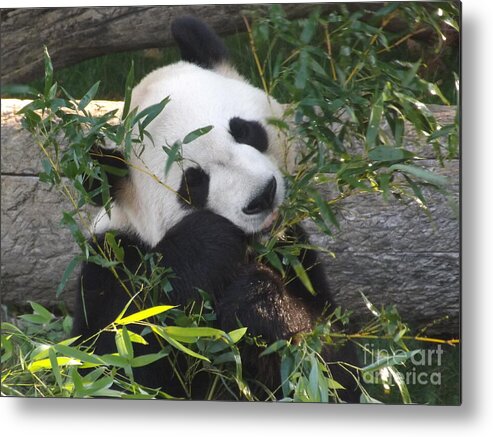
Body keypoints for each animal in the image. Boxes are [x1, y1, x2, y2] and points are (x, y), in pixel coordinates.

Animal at [71, 17, 360, 400]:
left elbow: (334, 366)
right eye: (193, 183)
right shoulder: (112, 262)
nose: (262, 196)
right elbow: (113, 361)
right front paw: (208, 242)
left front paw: (259, 302)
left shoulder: (295, 253)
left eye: (244, 130)